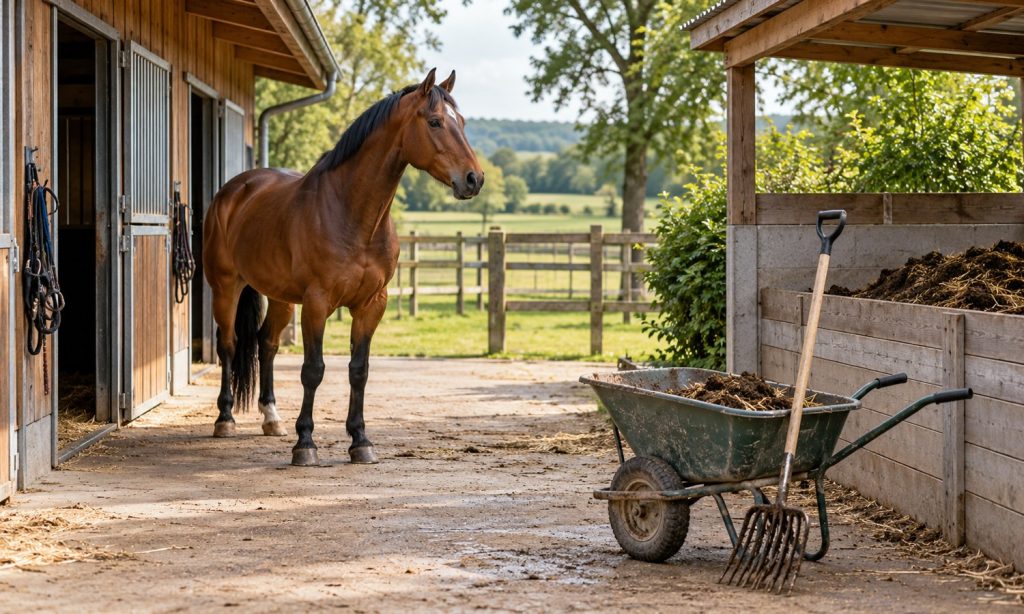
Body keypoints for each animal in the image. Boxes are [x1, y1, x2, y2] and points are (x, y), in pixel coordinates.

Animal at [202, 69, 483, 466]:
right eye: (435, 121)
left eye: (462, 122)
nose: (474, 179)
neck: (351, 214)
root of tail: (235, 190)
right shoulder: (318, 303)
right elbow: (313, 370)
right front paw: (305, 444)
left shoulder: (371, 304)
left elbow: (359, 371)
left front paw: (360, 441)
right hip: (227, 287)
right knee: (228, 345)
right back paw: (225, 419)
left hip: (281, 297)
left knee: (266, 344)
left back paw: (272, 418)